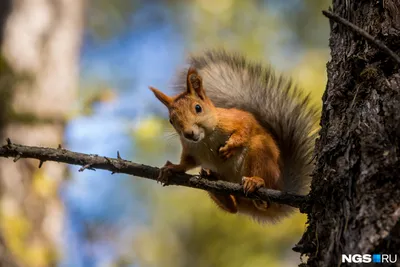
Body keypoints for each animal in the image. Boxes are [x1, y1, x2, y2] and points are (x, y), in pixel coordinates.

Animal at [148, 49, 318, 223]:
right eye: (171, 120)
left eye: (198, 108)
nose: (188, 134)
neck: (206, 138)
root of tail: (281, 189)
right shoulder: (190, 149)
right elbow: (187, 163)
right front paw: (172, 168)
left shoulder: (235, 118)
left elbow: (245, 127)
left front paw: (230, 146)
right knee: (233, 208)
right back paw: (215, 183)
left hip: (261, 153)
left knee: (263, 197)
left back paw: (256, 182)